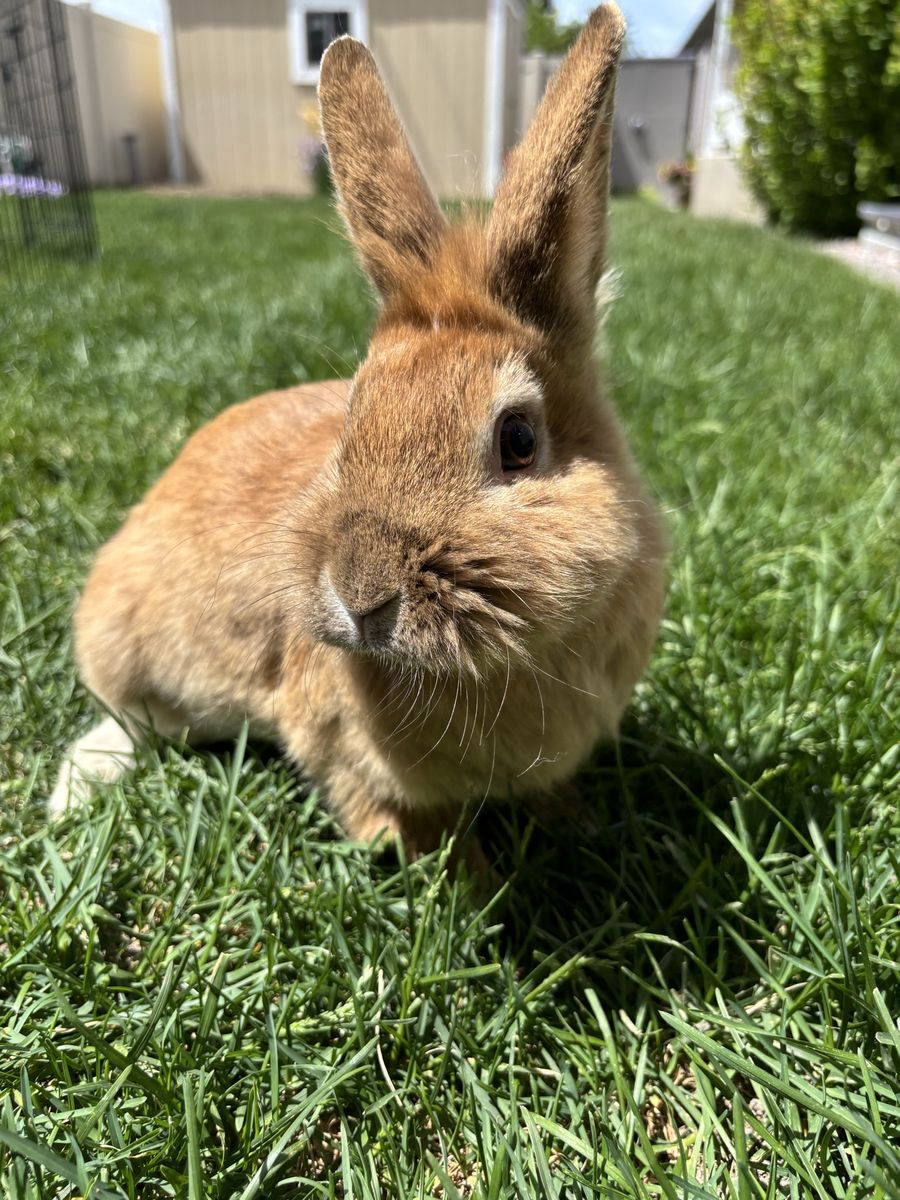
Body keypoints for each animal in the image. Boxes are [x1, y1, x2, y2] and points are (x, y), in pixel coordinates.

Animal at [50, 2, 666, 858]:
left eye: (518, 439)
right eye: (353, 418)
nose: (362, 599)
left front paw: (578, 822)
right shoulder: (337, 746)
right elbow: (398, 819)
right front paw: (456, 870)